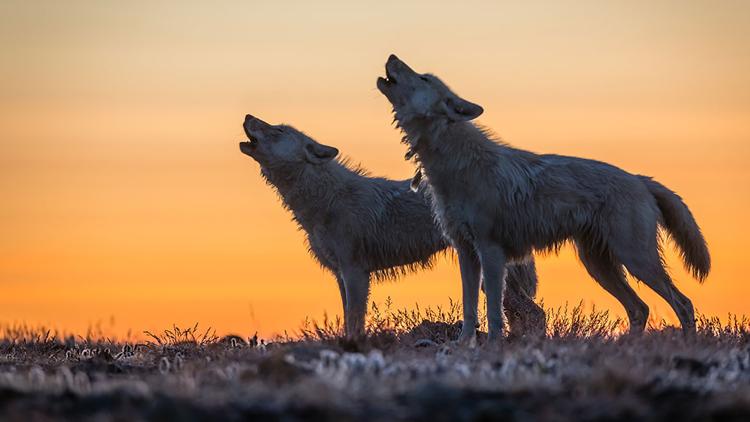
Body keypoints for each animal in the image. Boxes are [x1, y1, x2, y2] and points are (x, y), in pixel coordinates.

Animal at [241, 113, 548, 338]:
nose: (247, 116)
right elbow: (348, 319)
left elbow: (355, 322)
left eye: (277, 131)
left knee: (535, 314)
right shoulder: (340, 275)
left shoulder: (356, 272)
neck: (326, 200)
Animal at [378, 55, 712, 346]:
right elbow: (470, 310)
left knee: (683, 303)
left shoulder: (491, 251)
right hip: (600, 266)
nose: (392, 55)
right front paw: (461, 347)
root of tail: (641, 179)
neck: (455, 163)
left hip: (636, 260)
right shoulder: (466, 252)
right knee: (640, 308)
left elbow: (494, 313)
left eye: (423, 77)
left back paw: (688, 346)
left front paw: (493, 347)